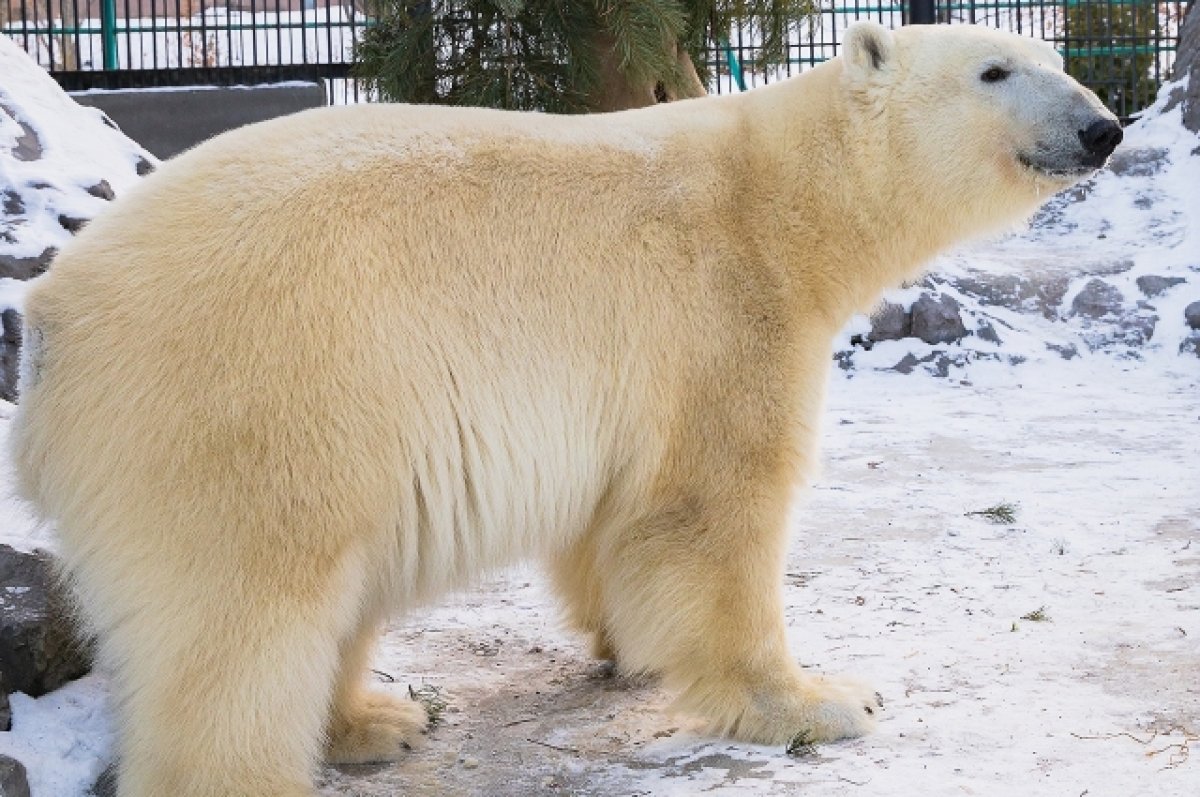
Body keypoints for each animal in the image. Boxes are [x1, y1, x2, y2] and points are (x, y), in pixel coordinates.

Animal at [11, 21, 1113, 792]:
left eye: (1056, 57)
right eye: (994, 71)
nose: (1102, 126)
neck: (779, 193)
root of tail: (53, 321)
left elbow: (614, 524)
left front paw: (628, 645)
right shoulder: (723, 306)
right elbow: (714, 508)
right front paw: (822, 699)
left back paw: (378, 717)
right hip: (253, 396)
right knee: (242, 621)